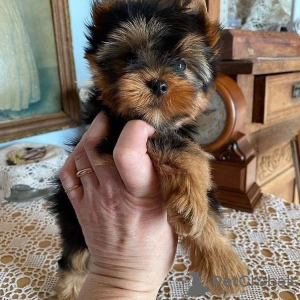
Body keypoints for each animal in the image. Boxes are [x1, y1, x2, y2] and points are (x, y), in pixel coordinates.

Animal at [48, 0, 247, 298]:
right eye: (129, 58)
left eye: (181, 64)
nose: (158, 83)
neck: (155, 121)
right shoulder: (114, 135)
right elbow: (180, 149)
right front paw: (193, 200)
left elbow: (207, 212)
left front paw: (221, 260)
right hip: (70, 210)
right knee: (75, 250)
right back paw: (69, 287)